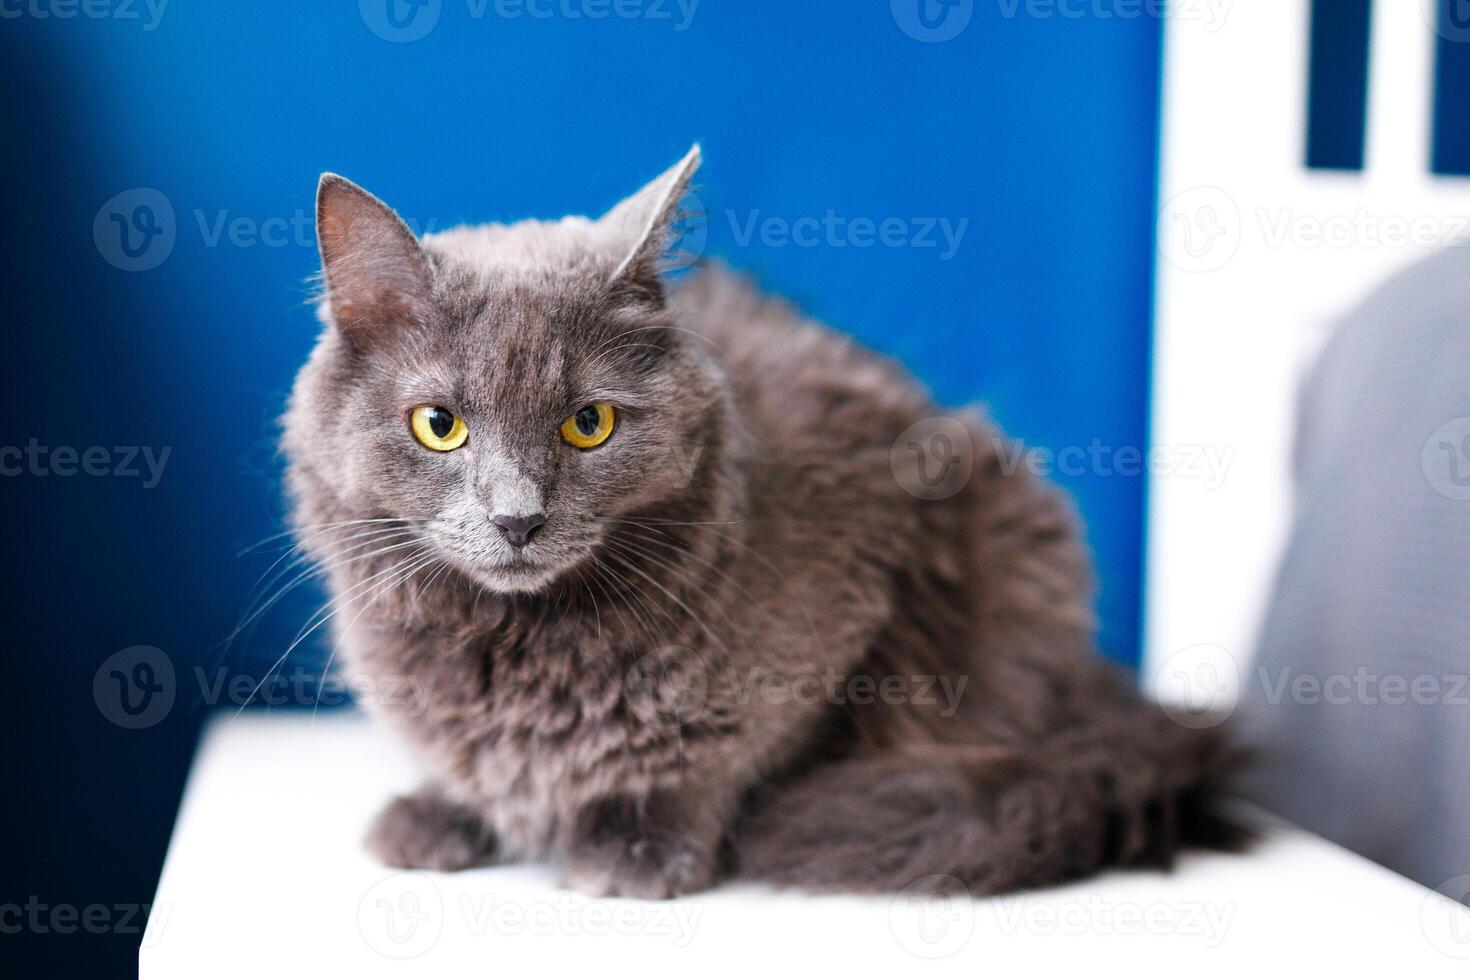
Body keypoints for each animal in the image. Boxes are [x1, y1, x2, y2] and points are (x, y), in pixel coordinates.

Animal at [280, 143, 1234, 899]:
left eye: (589, 423)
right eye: (439, 425)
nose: (518, 519)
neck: (522, 639)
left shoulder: (855, 593)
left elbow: (721, 757)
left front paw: (638, 846)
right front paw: (445, 811)